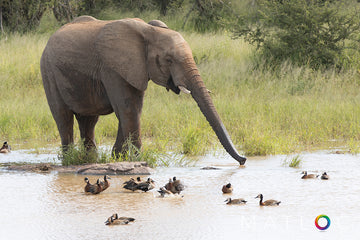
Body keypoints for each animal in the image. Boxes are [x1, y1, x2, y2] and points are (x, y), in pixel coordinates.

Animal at [40, 15, 246, 165]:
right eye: (169, 60)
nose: (243, 160)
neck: (149, 31)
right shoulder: (112, 68)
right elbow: (127, 108)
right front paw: (136, 159)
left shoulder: (137, 69)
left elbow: (133, 109)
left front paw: (119, 157)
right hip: (48, 71)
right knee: (63, 117)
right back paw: (70, 159)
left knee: (88, 120)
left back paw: (89, 160)